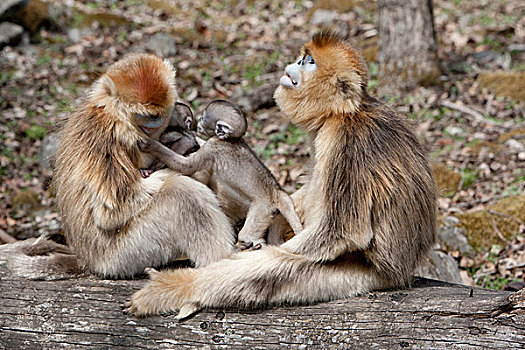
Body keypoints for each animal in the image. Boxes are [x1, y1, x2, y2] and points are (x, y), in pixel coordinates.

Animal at [139, 100, 302, 250]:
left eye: (203, 117)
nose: (198, 122)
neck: (229, 139)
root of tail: (276, 192)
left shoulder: (213, 145)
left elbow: (186, 166)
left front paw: (151, 145)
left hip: (264, 208)